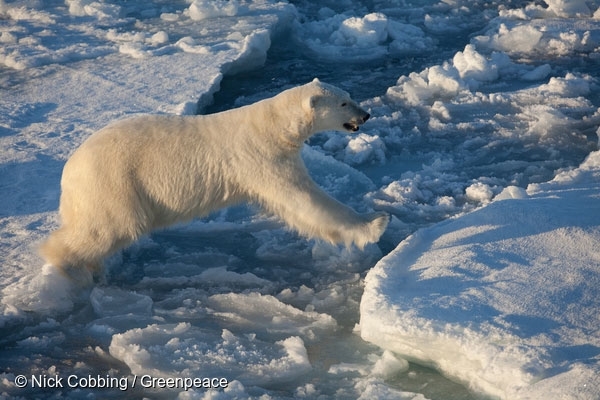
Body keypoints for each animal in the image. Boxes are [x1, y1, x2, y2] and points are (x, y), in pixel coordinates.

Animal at [41, 79, 390, 282]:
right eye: (344, 103)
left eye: (349, 95)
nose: (366, 115)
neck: (274, 125)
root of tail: (70, 166)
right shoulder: (261, 156)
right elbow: (305, 199)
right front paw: (375, 223)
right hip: (116, 180)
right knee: (110, 226)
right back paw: (64, 265)